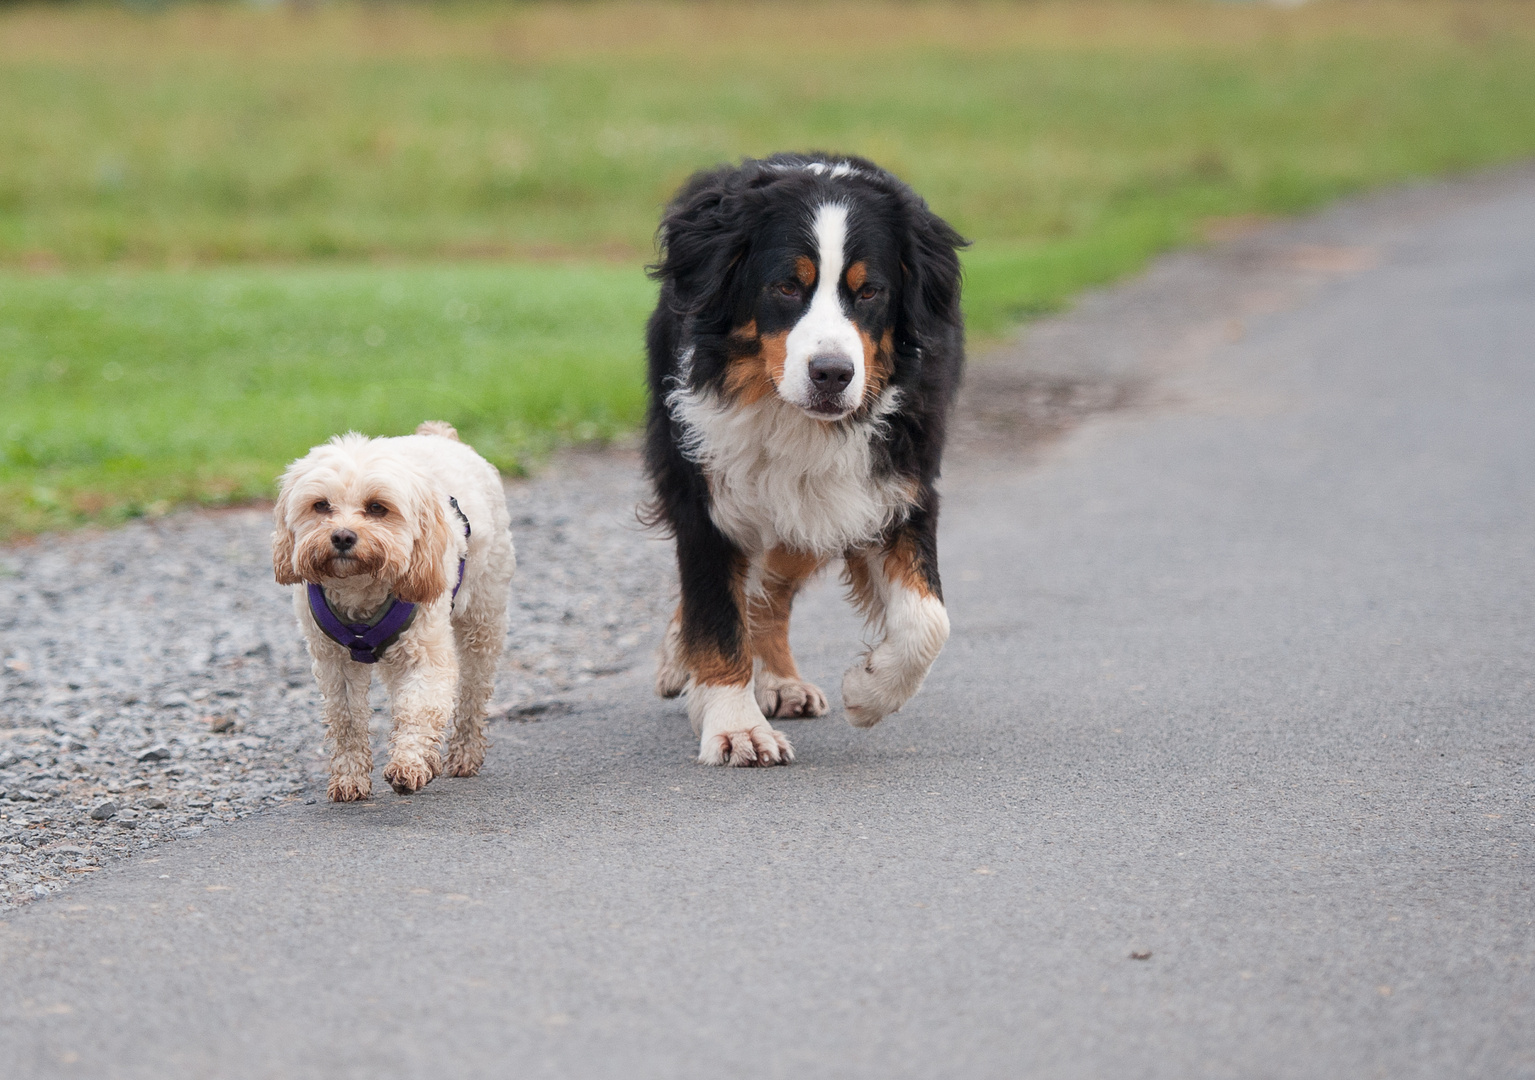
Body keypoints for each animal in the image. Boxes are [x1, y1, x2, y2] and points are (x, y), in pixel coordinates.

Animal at [274, 423, 515, 803]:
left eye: (377, 507)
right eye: (321, 505)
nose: (342, 536)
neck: (360, 588)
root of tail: (440, 435)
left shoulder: (426, 653)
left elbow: (418, 708)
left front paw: (409, 765)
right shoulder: (333, 661)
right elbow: (346, 719)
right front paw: (349, 778)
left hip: (483, 618)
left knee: (473, 690)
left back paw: (465, 753)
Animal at [641, 154, 963, 767]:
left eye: (870, 292)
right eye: (787, 285)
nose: (832, 374)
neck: (795, 420)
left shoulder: (897, 480)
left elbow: (928, 619)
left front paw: (869, 690)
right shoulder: (706, 488)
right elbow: (716, 613)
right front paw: (735, 725)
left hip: (815, 504)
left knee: (771, 587)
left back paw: (777, 681)